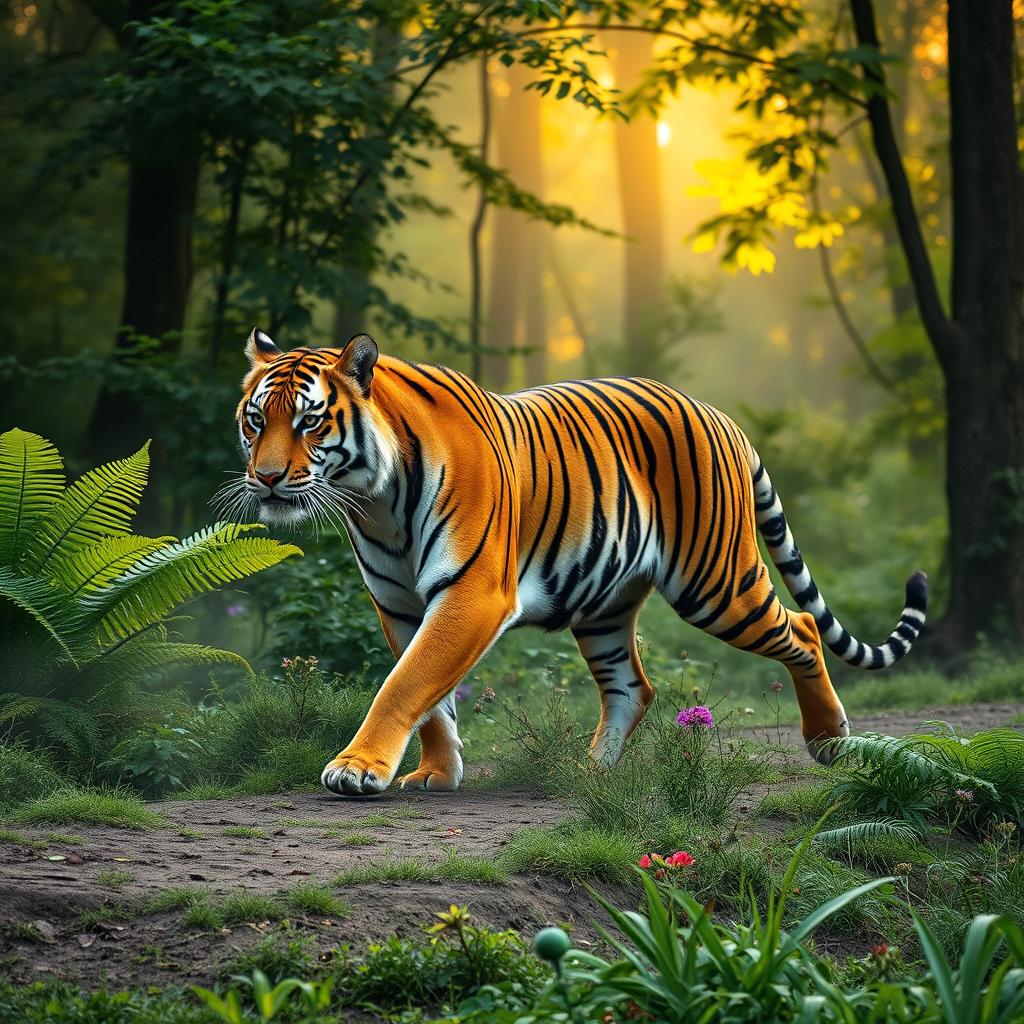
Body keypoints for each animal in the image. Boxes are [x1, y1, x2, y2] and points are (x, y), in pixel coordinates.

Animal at [231, 326, 928, 796]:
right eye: (256, 419)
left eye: (310, 422)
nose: (265, 479)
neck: (375, 500)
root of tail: (721, 416)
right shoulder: (399, 605)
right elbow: (430, 697)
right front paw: (437, 771)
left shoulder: (471, 592)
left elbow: (405, 682)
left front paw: (357, 769)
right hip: (605, 606)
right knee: (632, 686)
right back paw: (591, 770)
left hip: (716, 583)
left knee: (804, 630)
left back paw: (828, 740)